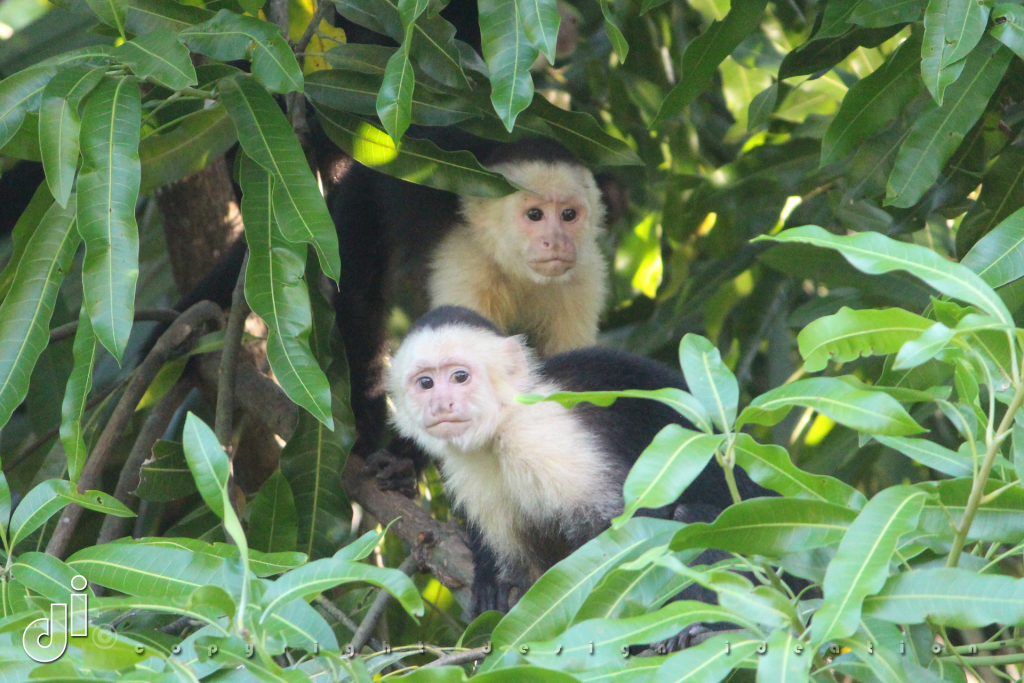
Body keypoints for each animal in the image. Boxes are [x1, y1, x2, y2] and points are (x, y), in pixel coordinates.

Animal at [385, 307, 774, 626]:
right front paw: (492, 580)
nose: (441, 405)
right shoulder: (470, 469)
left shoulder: (546, 434)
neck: (499, 430)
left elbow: (632, 525)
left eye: (460, 377)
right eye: (425, 383)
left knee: (693, 520)